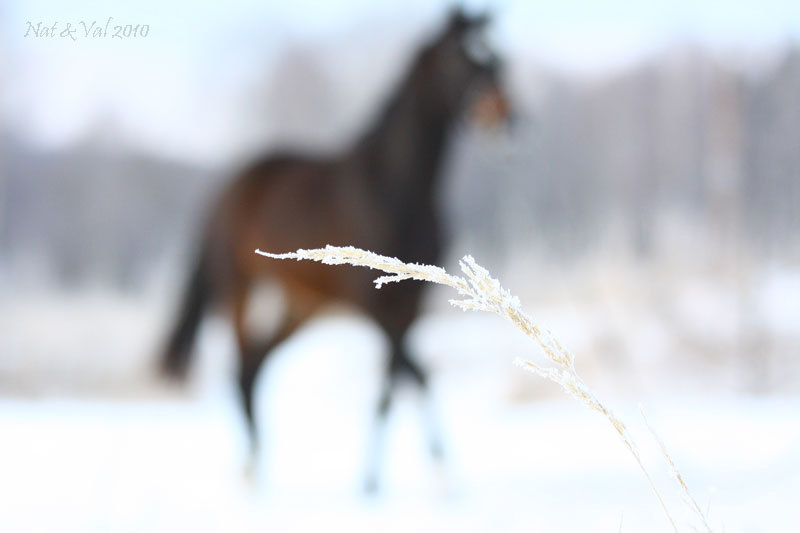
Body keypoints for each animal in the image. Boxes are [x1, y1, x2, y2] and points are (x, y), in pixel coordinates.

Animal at [160, 8, 510, 488]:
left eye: (497, 55)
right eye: (459, 58)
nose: (504, 111)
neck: (394, 187)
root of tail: (229, 188)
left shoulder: (410, 302)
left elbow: (394, 384)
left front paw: (378, 480)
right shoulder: (373, 302)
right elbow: (415, 374)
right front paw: (428, 475)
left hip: (302, 304)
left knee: (257, 366)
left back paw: (257, 467)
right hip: (239, 288)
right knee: (242, 366)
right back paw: (251, 471)